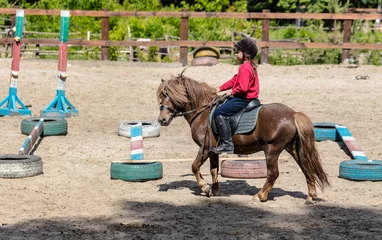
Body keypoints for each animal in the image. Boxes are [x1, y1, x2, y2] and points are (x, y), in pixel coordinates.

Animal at [157, 71, 330, 202]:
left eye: (171, 95)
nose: (162, 120)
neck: (203, 113)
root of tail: (293, 114)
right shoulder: (213, 150)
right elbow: (214, 170)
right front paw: (215, 190)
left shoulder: (205, 148)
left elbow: (194, 166)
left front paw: (205, 188)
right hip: (293, 148)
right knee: (306, 166)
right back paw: (311, 195)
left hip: (272, 150)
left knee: (273, 174)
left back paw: (260, 196)